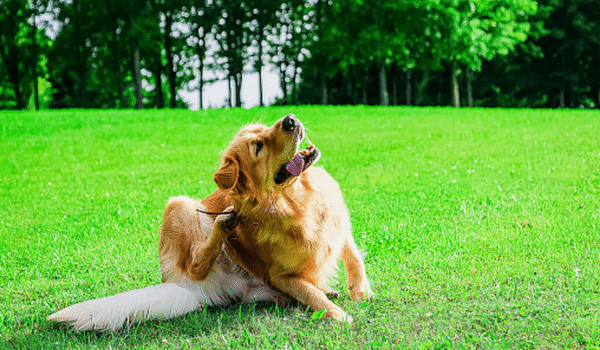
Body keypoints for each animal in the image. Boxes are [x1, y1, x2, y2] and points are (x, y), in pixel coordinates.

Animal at [48, 114, 370, 330]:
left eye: (265, 128)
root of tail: (186, 289)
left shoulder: (339, 225)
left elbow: (353, 255)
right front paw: (337, 314)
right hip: (179, 205)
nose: (290, 119)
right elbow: (308, 292)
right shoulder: (279, 274)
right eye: (258, 147)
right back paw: (224, 224)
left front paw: (360, 290)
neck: (295, 199)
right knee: (197, 262)